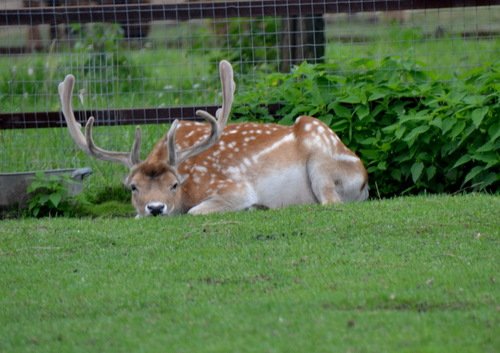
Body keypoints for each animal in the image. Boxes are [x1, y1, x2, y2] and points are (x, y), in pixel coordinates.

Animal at [58, 59, 370, 216]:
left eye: (174, 185)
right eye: (133, 187)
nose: (156, 208)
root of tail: (365, 178)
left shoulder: (235, 187)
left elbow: (195, 212)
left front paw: (251, 206)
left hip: (322, 162)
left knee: (330, 202)